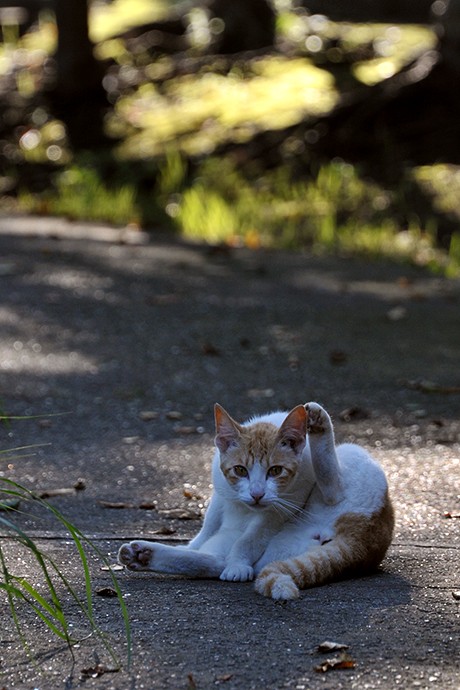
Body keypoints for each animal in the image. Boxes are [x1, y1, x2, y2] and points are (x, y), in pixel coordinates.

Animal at [117, 400, 394, 600]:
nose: (257, 494)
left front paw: (238, 563)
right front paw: (197, 547)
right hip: (272, 553)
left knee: (333, 488)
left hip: (352, 460)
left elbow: (249, 538)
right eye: (240, 470)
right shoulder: (221, 494)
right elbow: (208, 526)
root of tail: (365, 540)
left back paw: (320, 422)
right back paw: (143, 555)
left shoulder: (280, 507)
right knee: (215, 562)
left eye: (276, 471)